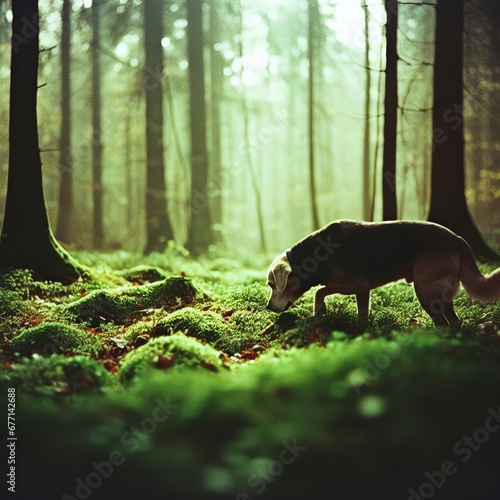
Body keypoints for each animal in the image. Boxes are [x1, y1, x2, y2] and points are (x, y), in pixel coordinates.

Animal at [266, 219, 500, 328]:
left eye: (272, 285)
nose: (267, 307)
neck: (314, 257)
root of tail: (458, 239)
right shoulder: (352, 288)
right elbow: (322, 293)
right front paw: (321, 312)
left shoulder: (359, 286)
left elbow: (321, 293)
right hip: (438, 291)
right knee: (454, 322)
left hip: (425, 290)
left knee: (443, 323)